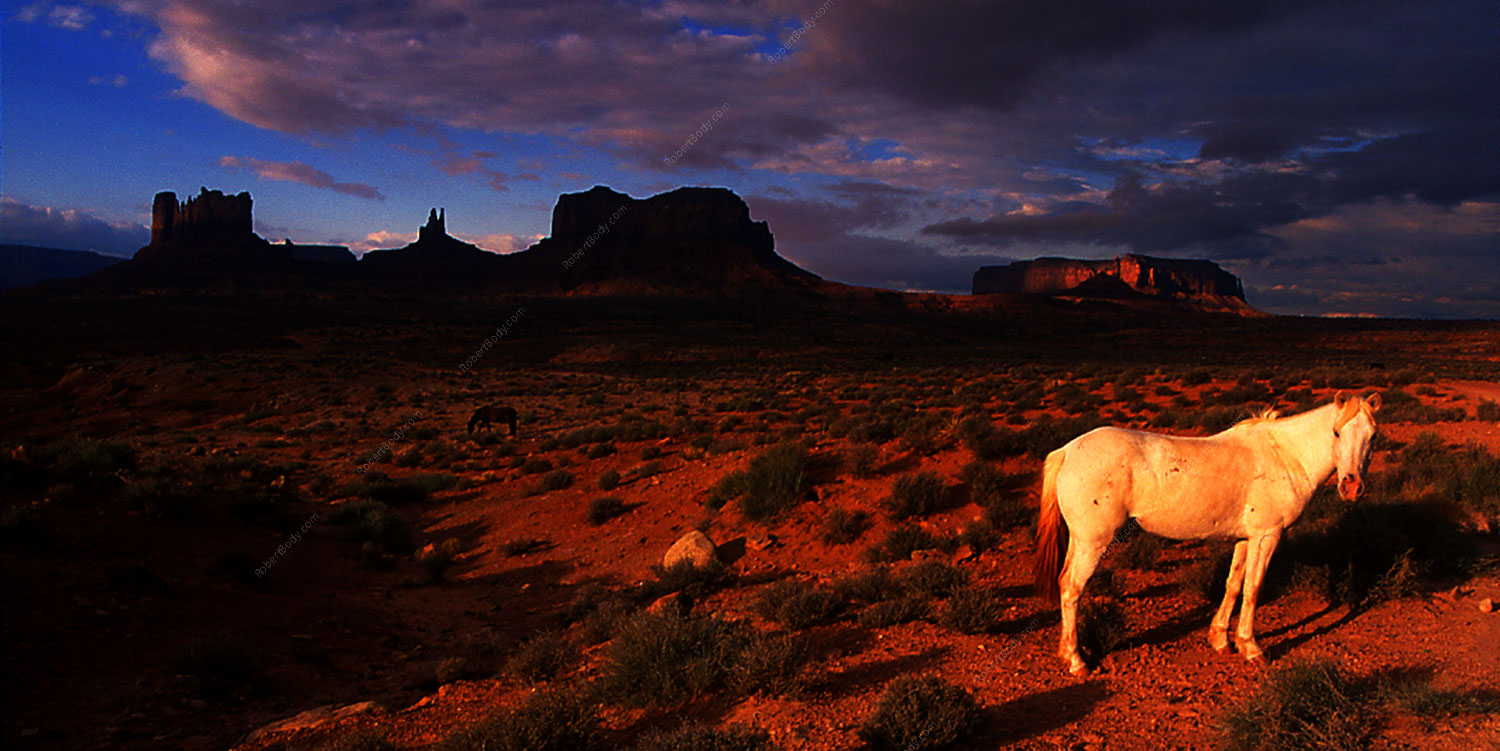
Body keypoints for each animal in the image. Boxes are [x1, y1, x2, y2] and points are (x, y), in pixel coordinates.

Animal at [1034, 390, 1381, 676]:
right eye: (1337, 432)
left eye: (1373, 436)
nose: (1352, 487)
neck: (1285, 455)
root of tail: (1067, 451)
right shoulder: (1267, 536)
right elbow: (1253, 588)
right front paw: (1251, 648)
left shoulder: (1246, 538)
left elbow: (1233, 584)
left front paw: (1220, 639)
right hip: (1094, 542)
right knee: (1072, 588)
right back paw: (1078, 662)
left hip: (1080, 541)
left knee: (1065, 582)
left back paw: (1066, 653)